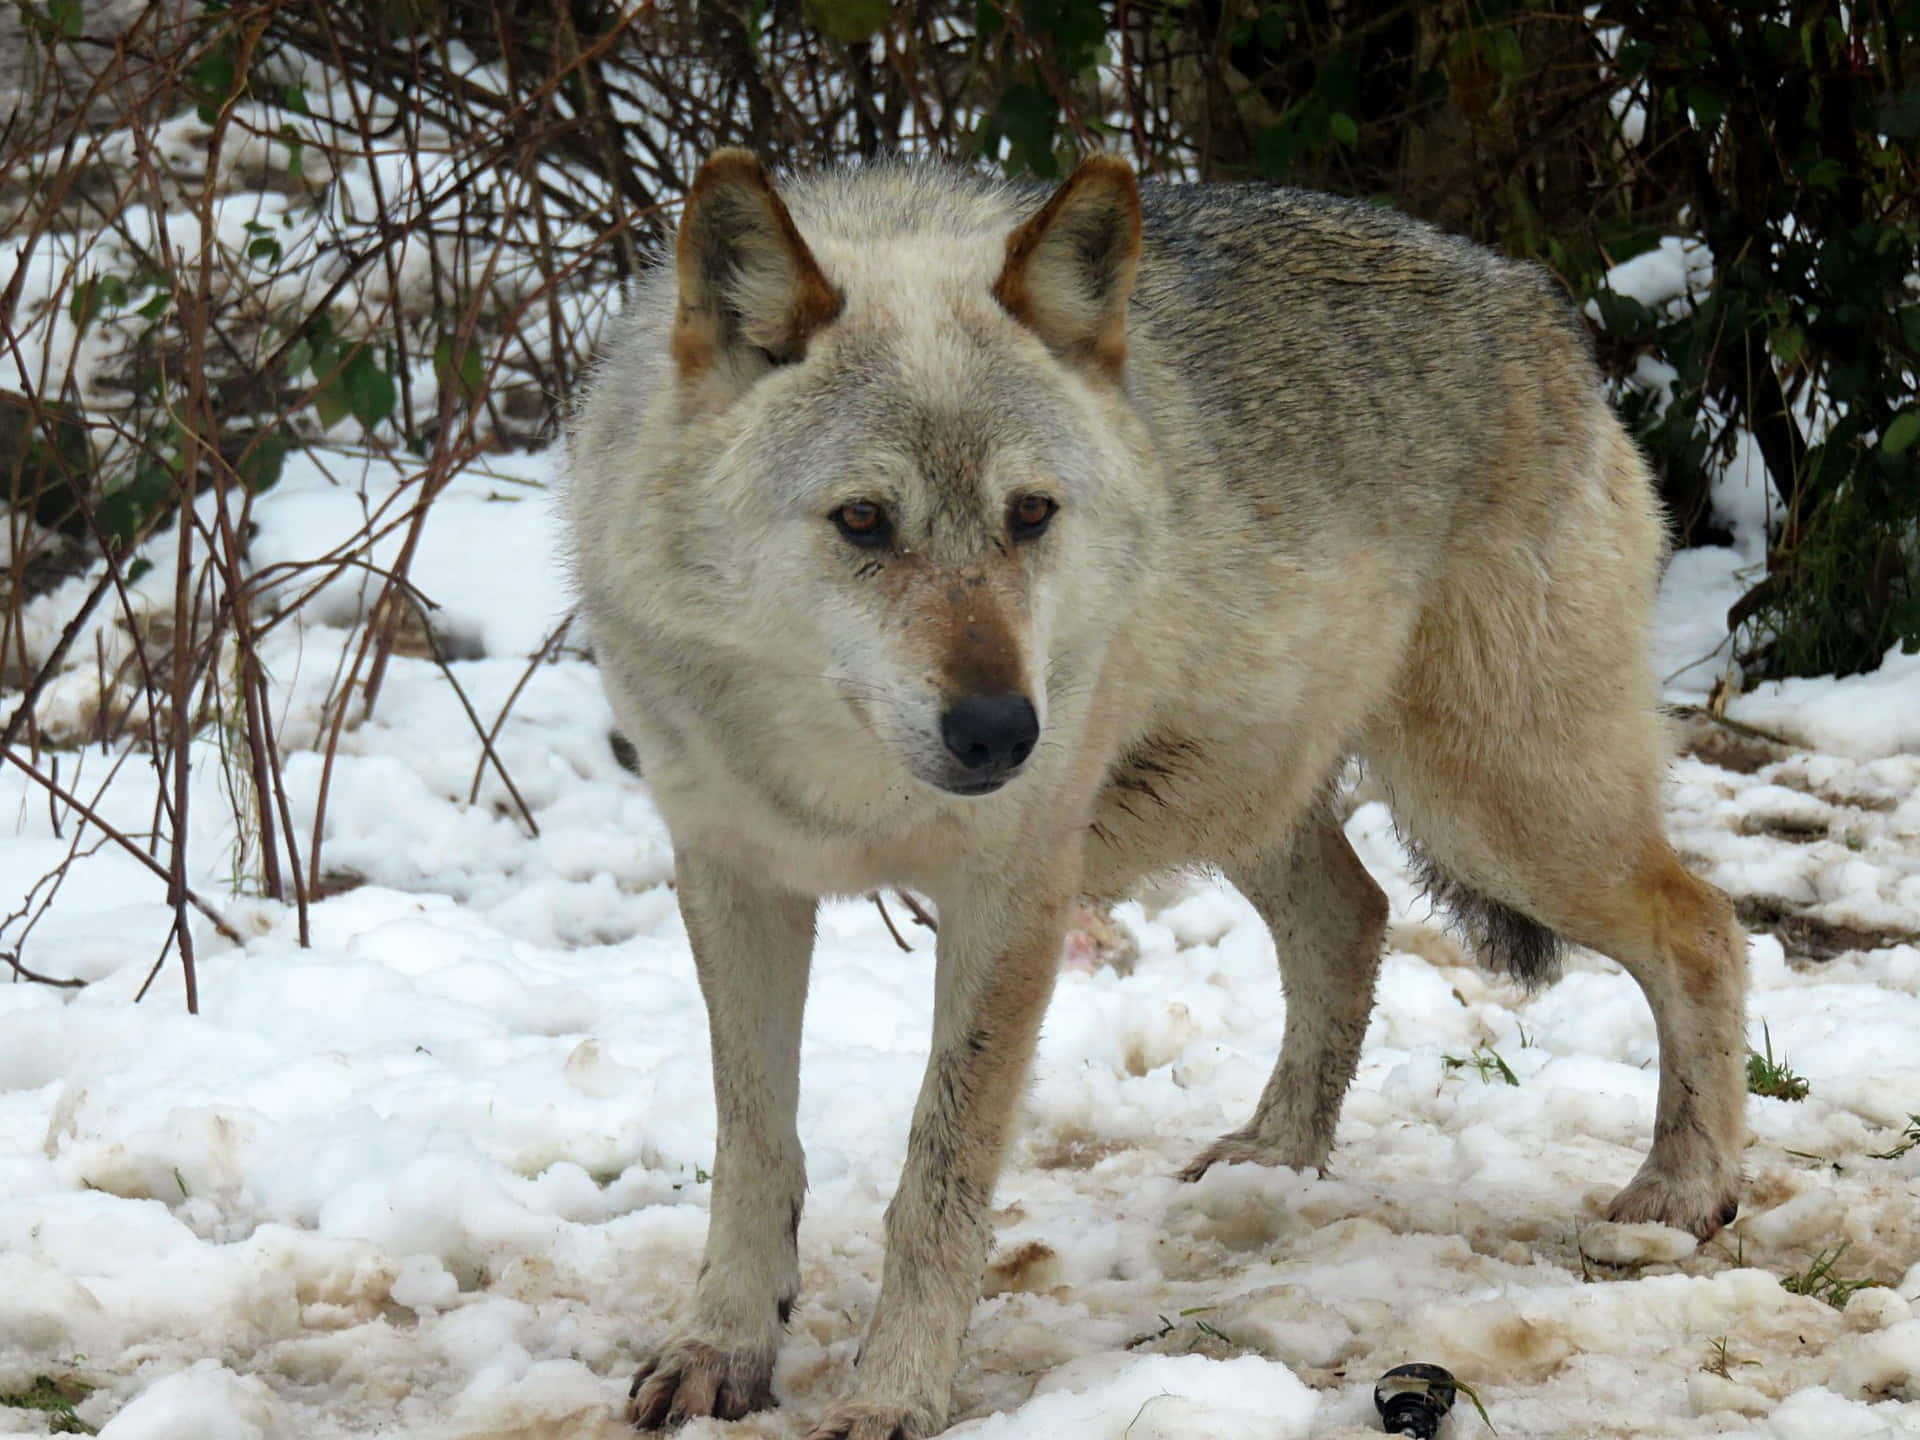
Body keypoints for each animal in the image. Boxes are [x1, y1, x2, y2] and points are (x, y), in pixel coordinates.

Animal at [560, 152, 1751, 1436]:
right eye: (864, 522)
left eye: (1032, 514)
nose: (1003, 731)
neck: (842, 775)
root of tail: (1542, 304)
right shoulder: (734, 881)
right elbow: (751, 1145)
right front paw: (723, 1347)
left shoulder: (1011, 899)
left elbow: (937, 1175)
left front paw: (892, 1394)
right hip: (1255, 798)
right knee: (1355, 920)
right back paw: (1277, 1155)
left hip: (1496, 814)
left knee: (1705, 928)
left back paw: (1685, 1189)